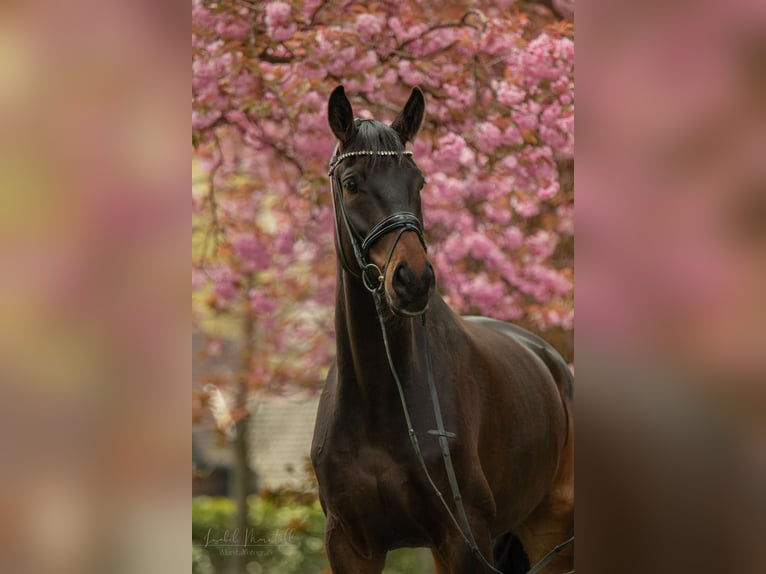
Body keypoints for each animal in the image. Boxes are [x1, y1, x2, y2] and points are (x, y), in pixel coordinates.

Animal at [314, 86, 576, 574]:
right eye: (352, 183)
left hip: (552, 537)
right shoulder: (350, 546)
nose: (413, 280)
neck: (380, 398)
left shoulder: (464, 538)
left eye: (418, 182)